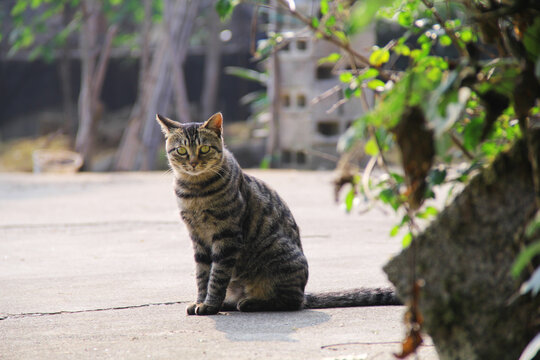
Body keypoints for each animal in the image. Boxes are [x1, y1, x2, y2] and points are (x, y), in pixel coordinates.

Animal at [156, 112, 400, 316]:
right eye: (181, 150)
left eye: (204, 149)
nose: (193, 163)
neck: (195, 191)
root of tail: (304, 293)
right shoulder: (197, 237)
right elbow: (202, 275)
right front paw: (201, 301)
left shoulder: (226, 236)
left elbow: (216, 276)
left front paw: (209, 304)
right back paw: (231, 302)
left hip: (278, 254)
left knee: (289, 301)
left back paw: (250, 303)